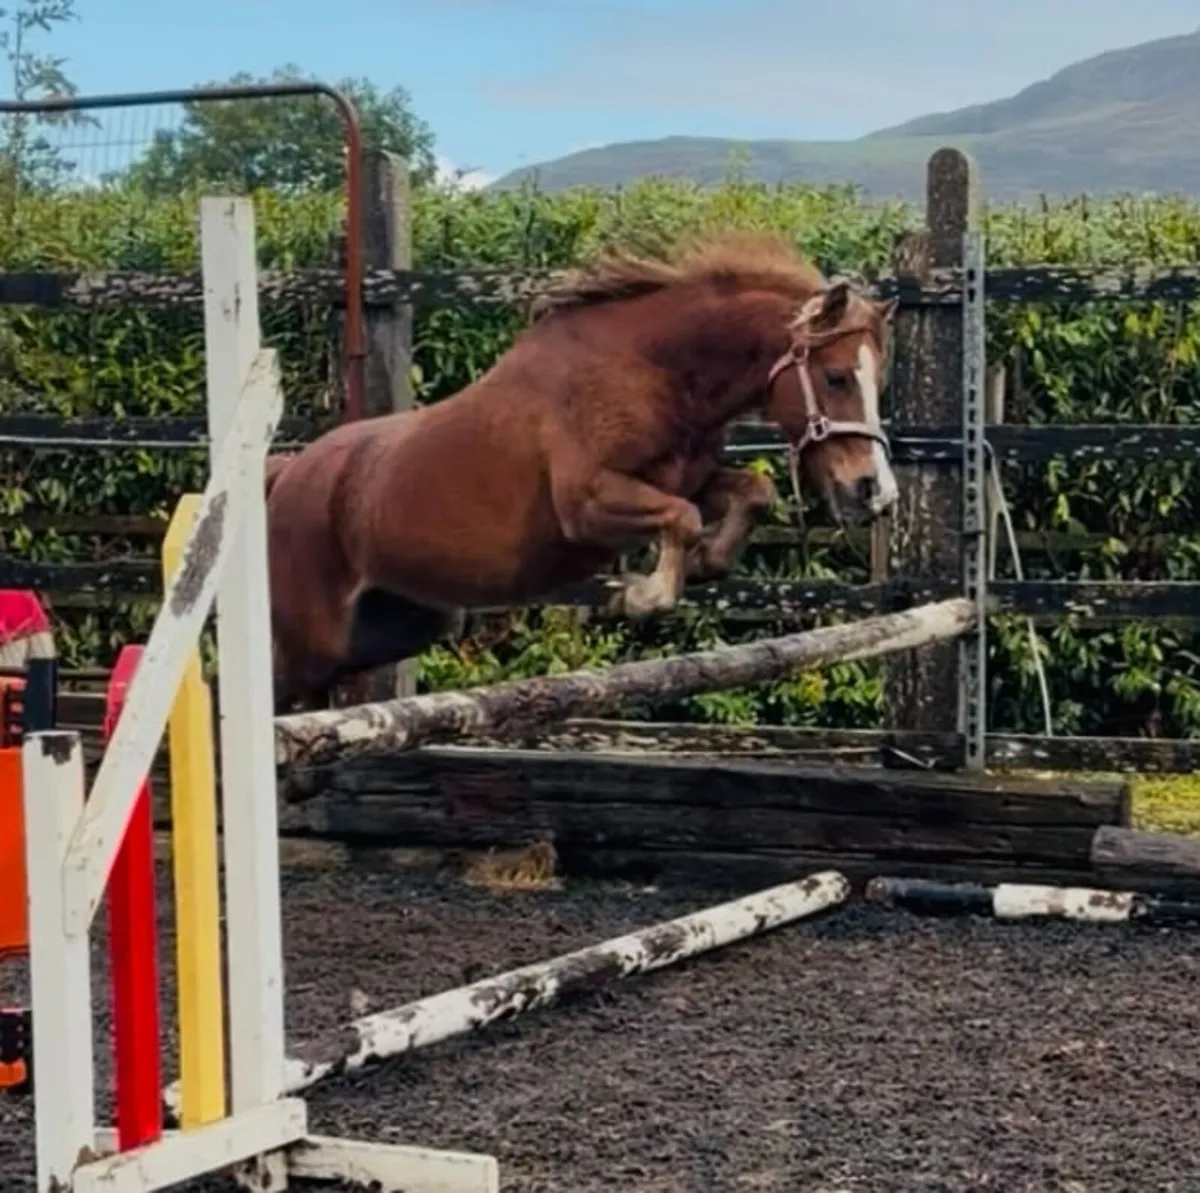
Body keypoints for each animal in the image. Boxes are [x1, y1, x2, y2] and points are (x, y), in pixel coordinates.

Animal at [265, 231, 899, 712]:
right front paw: (636, 596)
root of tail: (287, 475)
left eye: (877, 380)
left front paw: (702, 565)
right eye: (837, 377)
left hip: (405, 623)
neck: (652, 371)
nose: (874, 492)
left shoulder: (686, 475)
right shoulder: (589, 505)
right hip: (308, 643)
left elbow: (751, 493)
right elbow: (682, 518)